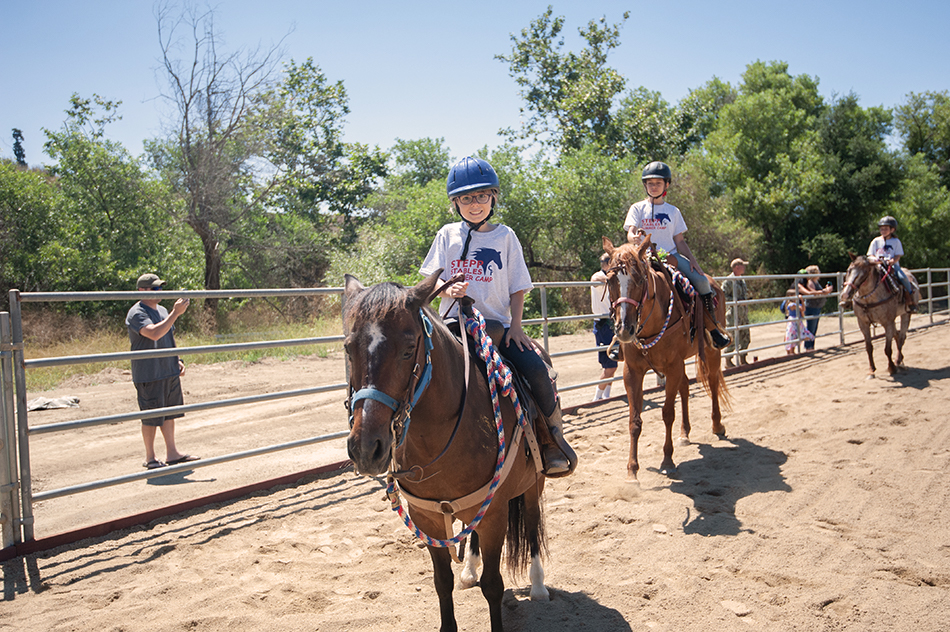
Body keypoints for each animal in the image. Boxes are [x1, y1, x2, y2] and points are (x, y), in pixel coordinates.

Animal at [346, 270, 548, 632]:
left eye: (408, 349)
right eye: (348, 348)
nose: (366, 448)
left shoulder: (495, 515)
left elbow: (493, 585)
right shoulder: (427, 518)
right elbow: (442, 582)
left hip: (533, 484)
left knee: (531, 521)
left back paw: (538, 585)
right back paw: (469, 569)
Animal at [608, 236, 732, 478]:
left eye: (639, 279)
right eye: (610, 281)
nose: (625, 329)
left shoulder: (672, 367)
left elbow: (667, 413)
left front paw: (667, 460)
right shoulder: (633, 372)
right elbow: (634, 421)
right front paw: (632, 471)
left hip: (712, 351)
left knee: (713, 382)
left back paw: (717, 425)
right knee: (685, 387)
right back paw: (684, 433)